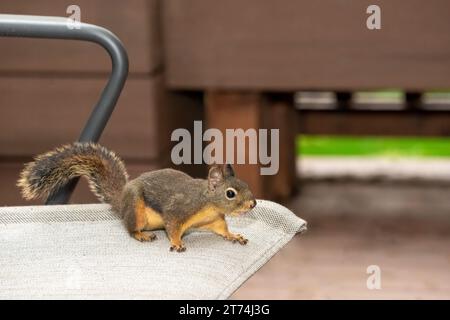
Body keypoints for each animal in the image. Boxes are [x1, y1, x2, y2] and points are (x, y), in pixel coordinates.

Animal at [16, 143, 256, 252]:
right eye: (230, 193)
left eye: (246, 184)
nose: (253, 204)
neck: (208, 203)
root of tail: (121, 201)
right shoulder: (179, 209)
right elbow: (173, 227)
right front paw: (177, 243)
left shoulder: (214, 219)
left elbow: (222, 229)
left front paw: (234, 235)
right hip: (136, 209)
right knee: (131, 229)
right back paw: (141, 235)